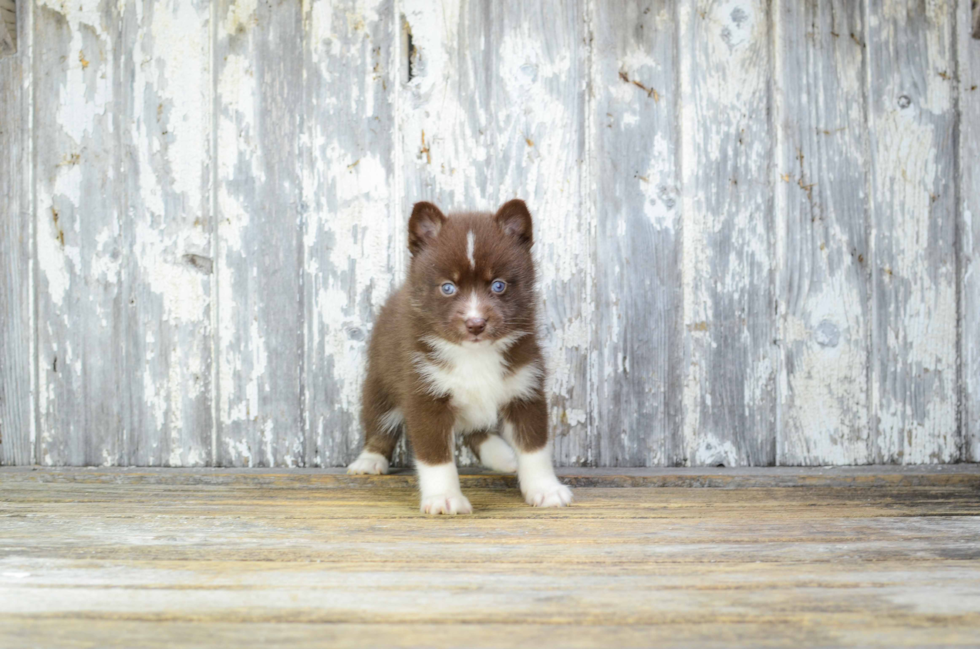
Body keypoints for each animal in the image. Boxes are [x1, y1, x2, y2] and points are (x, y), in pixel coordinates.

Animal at [348, 200, 576, 512]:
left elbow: (534, 445)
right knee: (379, 419)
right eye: (448, 287)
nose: (475, 323)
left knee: (476, 429)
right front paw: (444, 498)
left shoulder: (525, 386)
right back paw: (369, 459)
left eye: (498, 285)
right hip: (380, 376)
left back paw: (503, 455)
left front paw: (545, 489)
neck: (474, 354)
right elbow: (435, 455)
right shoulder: (423, 389)